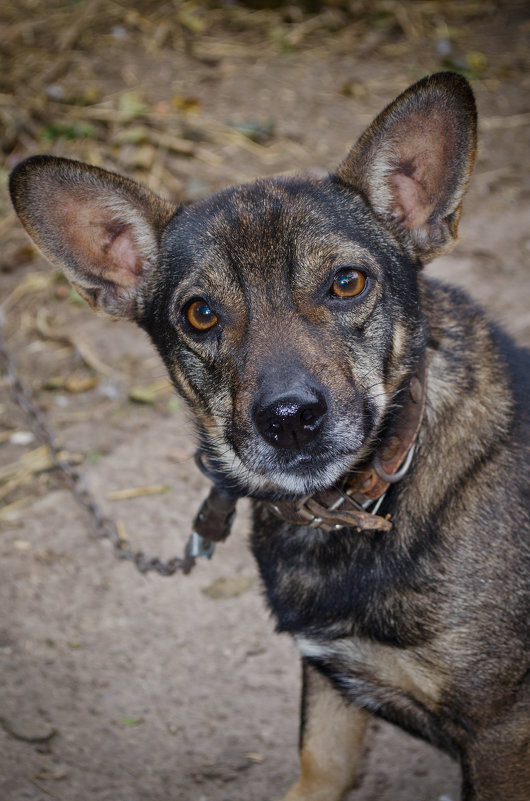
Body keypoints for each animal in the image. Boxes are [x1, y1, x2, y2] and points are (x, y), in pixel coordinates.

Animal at [8, 72, 528, 796]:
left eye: (347, 282)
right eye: (200, 314)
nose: (289, 419)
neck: (358, 501)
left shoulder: (501, 733)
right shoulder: (331, 691)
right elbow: (318, 766)